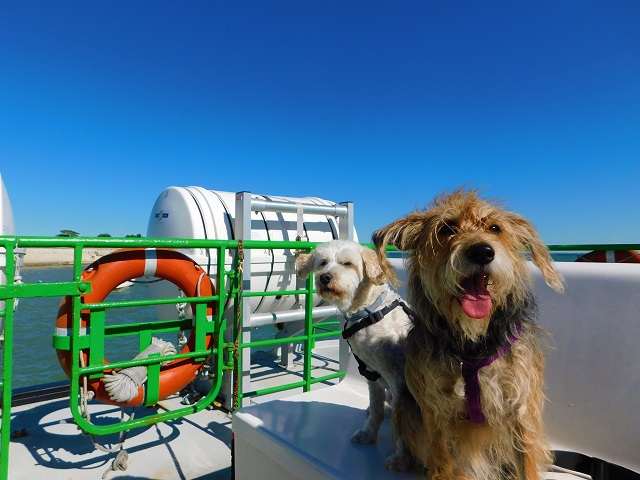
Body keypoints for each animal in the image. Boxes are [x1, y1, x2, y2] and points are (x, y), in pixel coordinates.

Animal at [296, 240, 416, 472]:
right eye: (322, 263)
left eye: (347, 264)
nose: (325, 277)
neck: (368, 311)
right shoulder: (372, 375)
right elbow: (376, 408)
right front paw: (369, 434)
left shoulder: (399, 380)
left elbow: (403, 426)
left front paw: (401, 459)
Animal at [372, 189, 564, 478]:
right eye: (447, 229)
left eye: (495, 228)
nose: (482, 252)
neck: (472, 344)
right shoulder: (435, 409)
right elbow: (442, 462)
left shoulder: (520, 406)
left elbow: (526, 462)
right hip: (406, 404)